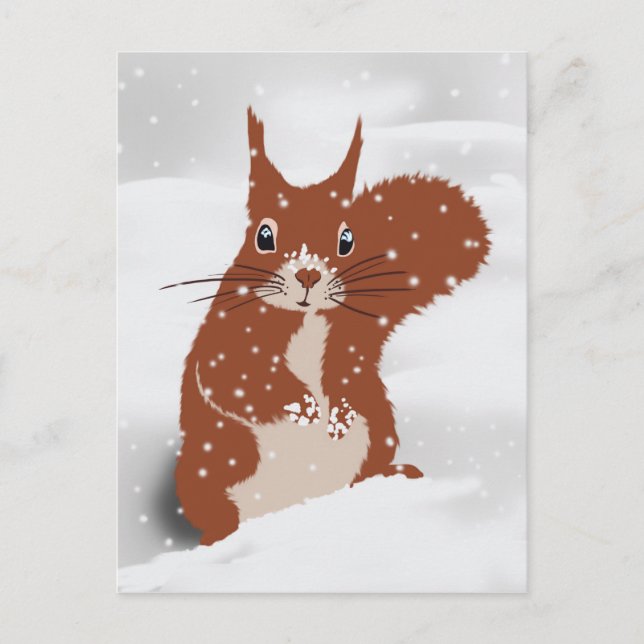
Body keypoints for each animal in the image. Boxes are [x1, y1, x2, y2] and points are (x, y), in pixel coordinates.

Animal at [167, 108, 490, 545]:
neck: (305, 317)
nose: (308, 274)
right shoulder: (228, 338)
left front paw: (336, 413)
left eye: (347, 239)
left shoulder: (352, 336)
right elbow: (235, 376)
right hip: (209, 470)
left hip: (377, 433)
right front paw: (302, 406)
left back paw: (396, 474)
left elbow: (345, 372)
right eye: (263, 236)